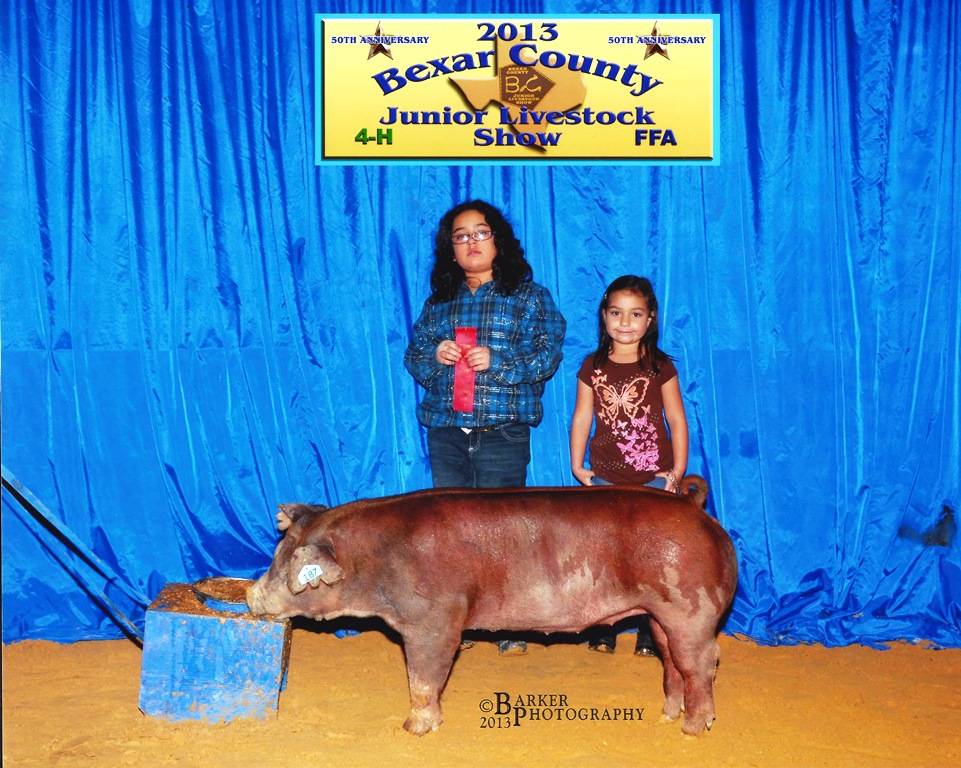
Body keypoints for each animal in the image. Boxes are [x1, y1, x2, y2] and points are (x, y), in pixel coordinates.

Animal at [246, 476, 736, 736]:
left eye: (290, 567)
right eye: (277, 553)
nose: (251, 596)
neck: (376, 561)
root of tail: (694, 505)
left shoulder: (434, 618)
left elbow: (423, 675)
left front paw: (413, 729)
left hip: (690, 607)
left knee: (702, 661)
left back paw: (694, 728)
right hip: (659, 614)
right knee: (672, 660)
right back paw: (667, 715)